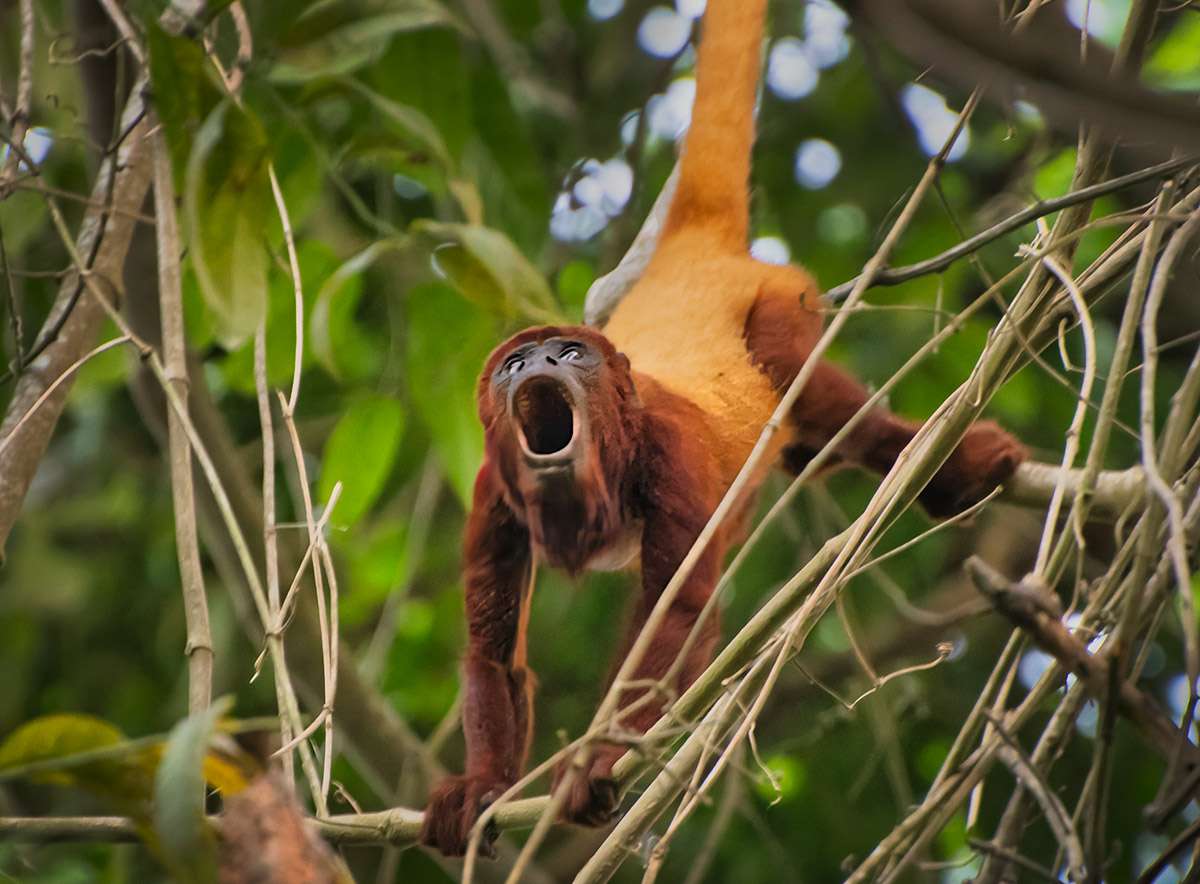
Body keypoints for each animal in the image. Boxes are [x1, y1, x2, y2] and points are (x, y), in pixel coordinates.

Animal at [419, 0, 1026, 857]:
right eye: (512, 366)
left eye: (568, 354)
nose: (537, 361)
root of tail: (692, 257)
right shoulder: (490, 493)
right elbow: (491, 652)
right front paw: (481, 788)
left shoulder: (669, 449)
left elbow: (677, 610)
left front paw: (594, 766)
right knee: (811, 450)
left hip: (781, 302)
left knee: (827, 406)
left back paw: (951, 463)